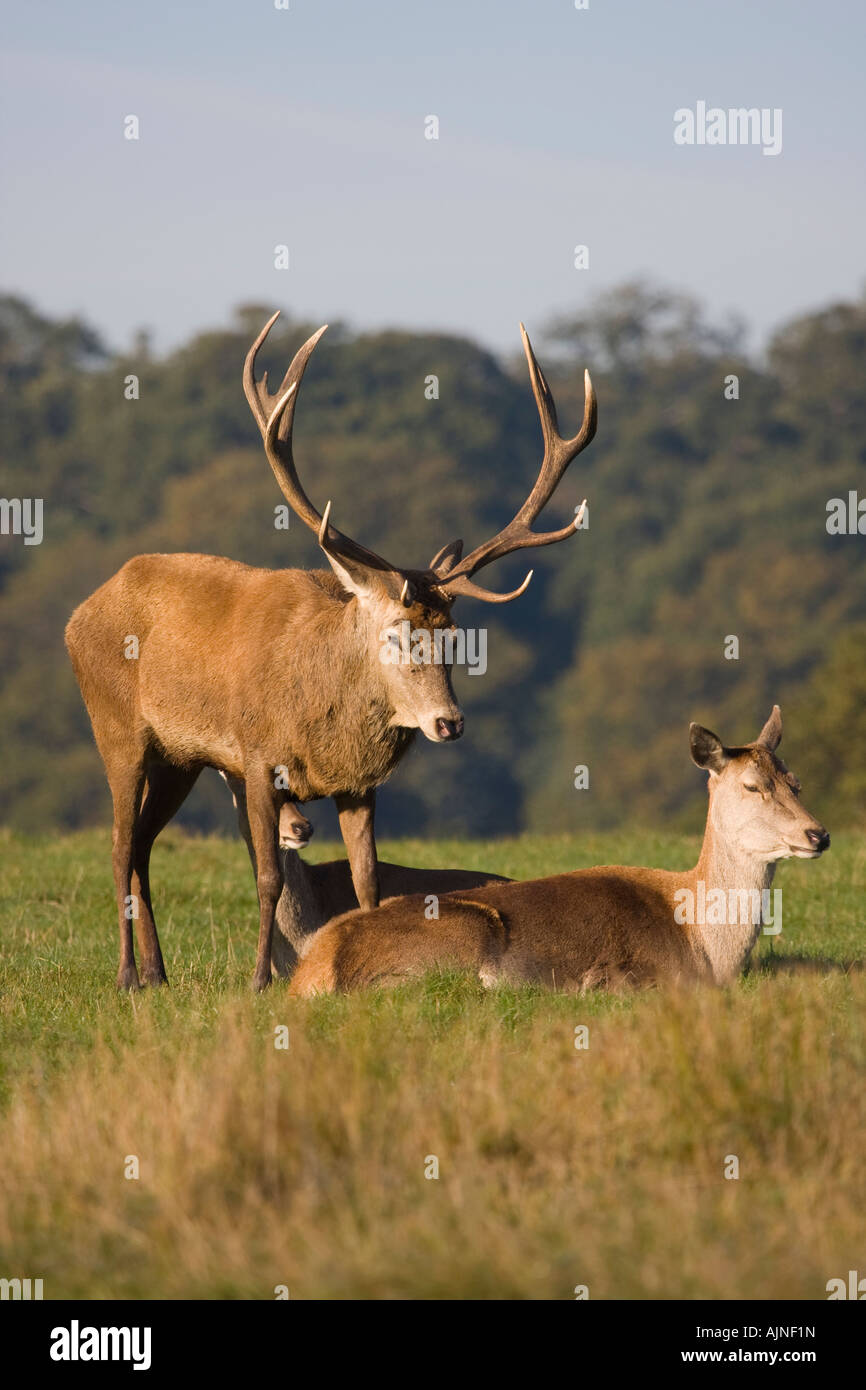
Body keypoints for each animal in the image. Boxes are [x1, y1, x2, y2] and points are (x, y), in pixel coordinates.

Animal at [67, 315, 594, 989]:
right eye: (396, 630)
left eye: (455, 634)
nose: (449, 722)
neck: (320, 716)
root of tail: (83, 610)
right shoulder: (257, 758)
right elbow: (267, 877)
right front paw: (260, 981)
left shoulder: (360, 785)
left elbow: (368, 885)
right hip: (116, 726)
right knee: (117, 845)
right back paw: (128, 975)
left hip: (180, 759)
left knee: (142, 845)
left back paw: (159, 974)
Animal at [291, 711, 834, 995]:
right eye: (752, 786)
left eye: (796, 781)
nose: (818, 834)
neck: (705, 947)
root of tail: (311, 973)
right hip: (458, 939)